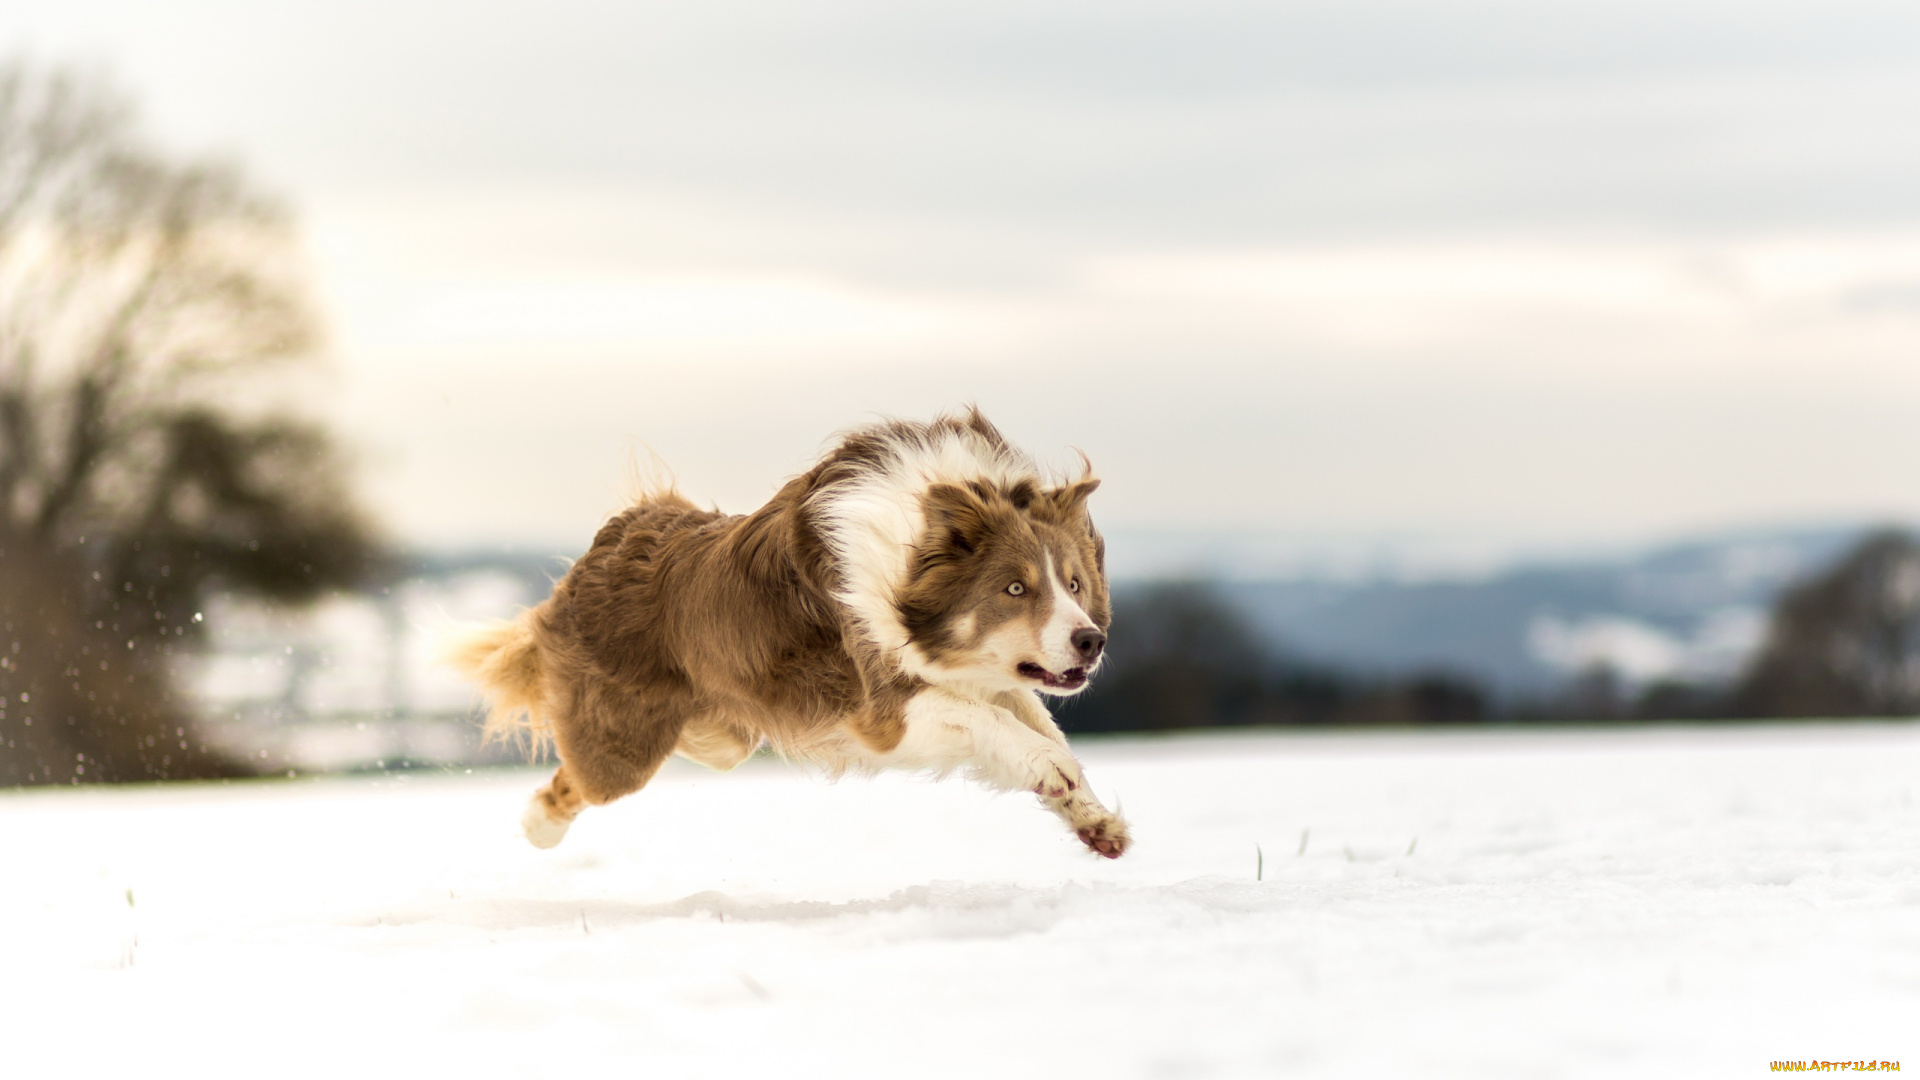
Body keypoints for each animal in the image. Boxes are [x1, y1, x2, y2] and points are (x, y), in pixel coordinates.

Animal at [441, 407, 1128, 853]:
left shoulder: (983, 677)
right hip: (623, 750)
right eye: (1014, 589)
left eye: (1073, 584)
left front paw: (1092, 817)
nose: (1091, 641)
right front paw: (1051, 769)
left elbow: (1038, 724)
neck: (909, 546)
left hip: (724, 734)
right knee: (578, 778)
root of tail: (611, 538)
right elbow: (996, 723)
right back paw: (538, 827)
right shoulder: (882, 707)